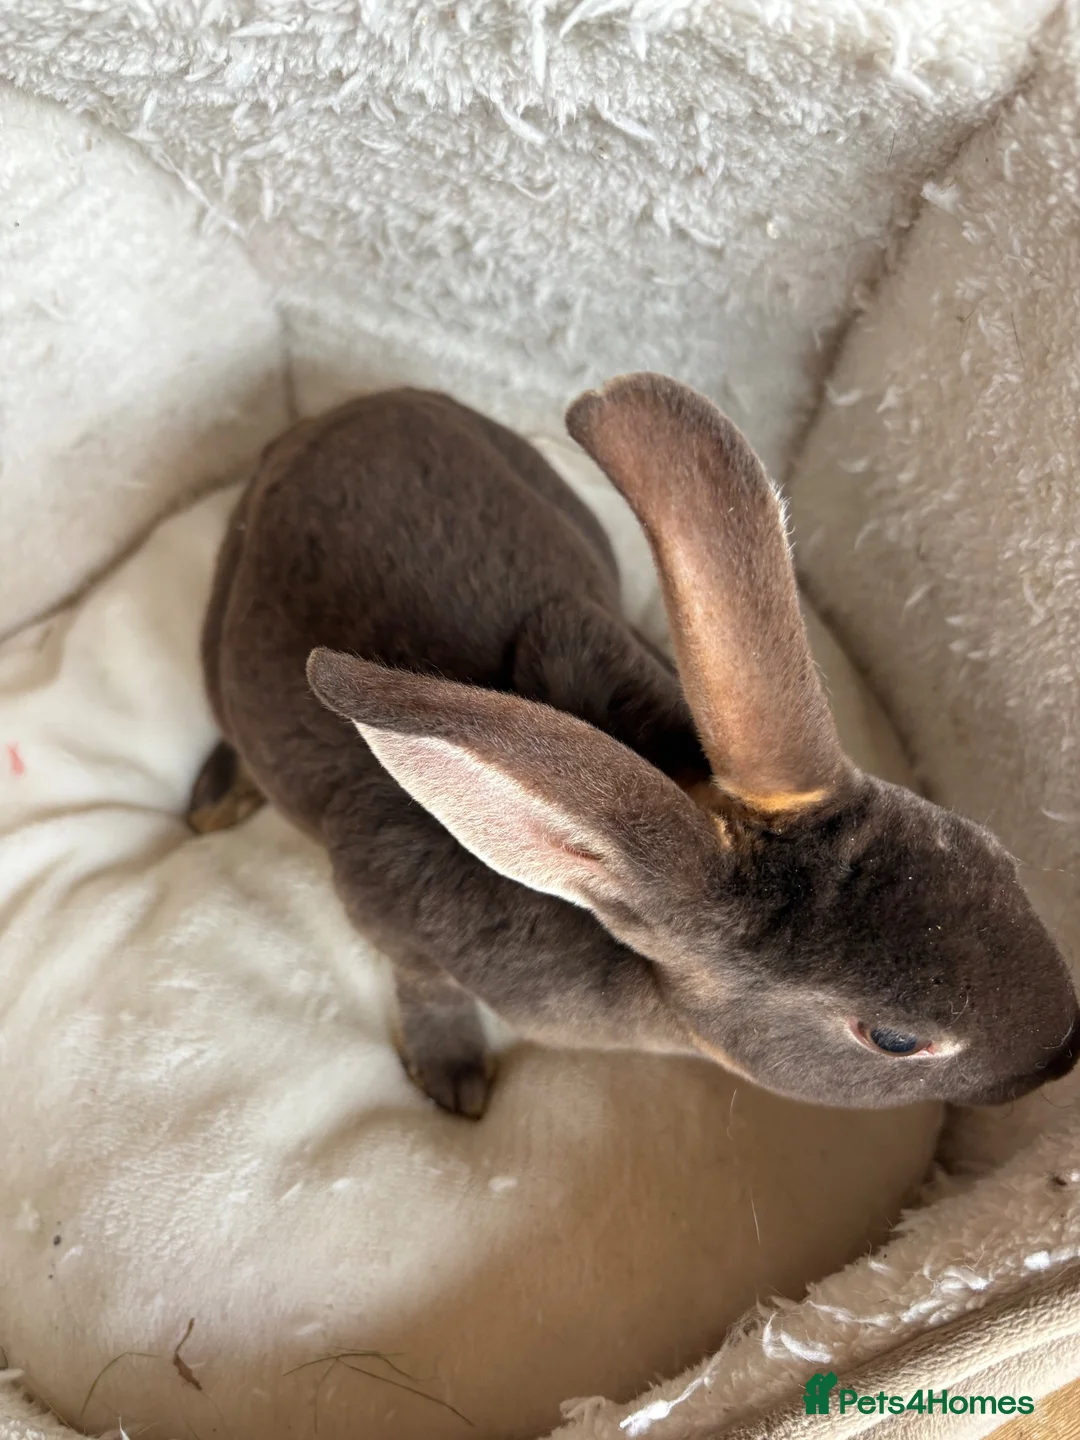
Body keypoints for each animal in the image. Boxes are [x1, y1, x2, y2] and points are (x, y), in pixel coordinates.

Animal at [189, 376, 1079, 1120]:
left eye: (995, 854)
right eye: (894, 1039)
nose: (1064, 1052)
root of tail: (352, 408)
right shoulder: (385, 903)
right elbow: (423, 984)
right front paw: (454, 1083)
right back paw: (212, 803)